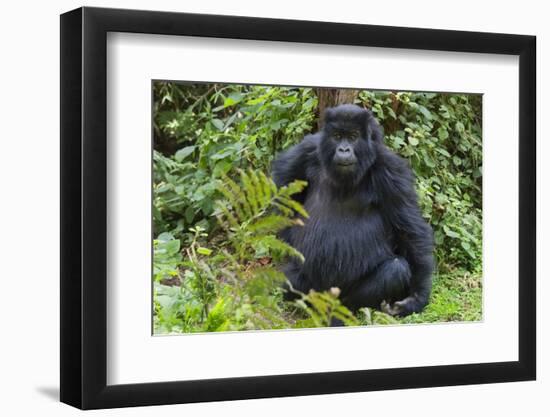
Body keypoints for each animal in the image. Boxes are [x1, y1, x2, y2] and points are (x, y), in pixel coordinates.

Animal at [272, 104, 436, 316]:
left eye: (353, 136)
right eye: (337, 135)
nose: (343, 149)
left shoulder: (392, 169)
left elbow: (411, 230)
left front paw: (416, 298)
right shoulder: (307, 148)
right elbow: (282, 186)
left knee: (395, 269)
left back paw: (345, 309)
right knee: (289, 280)